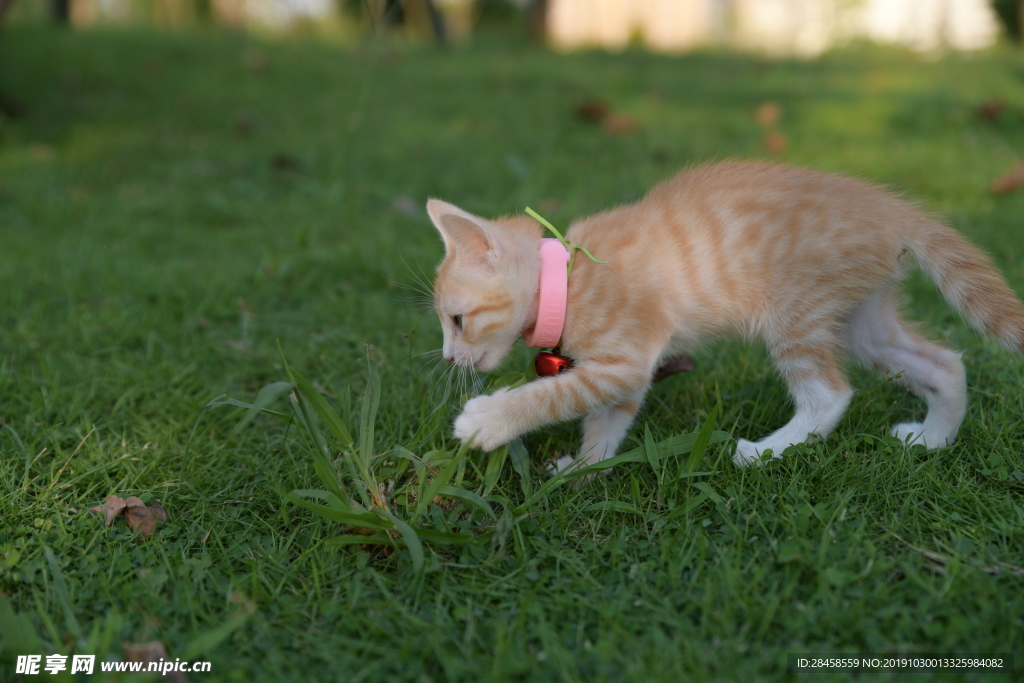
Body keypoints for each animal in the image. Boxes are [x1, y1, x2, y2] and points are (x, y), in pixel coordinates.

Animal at [421, 161, 1024, 471]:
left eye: (456, 321)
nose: (448, 357)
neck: (569, 277)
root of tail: (893, 210)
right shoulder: (626, 366)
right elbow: (609, 416)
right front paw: (587, 465)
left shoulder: (626, 356)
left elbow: (554, 395)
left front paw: (488, 421)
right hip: (863, 320)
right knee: (944, 363)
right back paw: (933, 440)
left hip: (796, 313)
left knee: (829, 395)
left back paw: (764, 452)